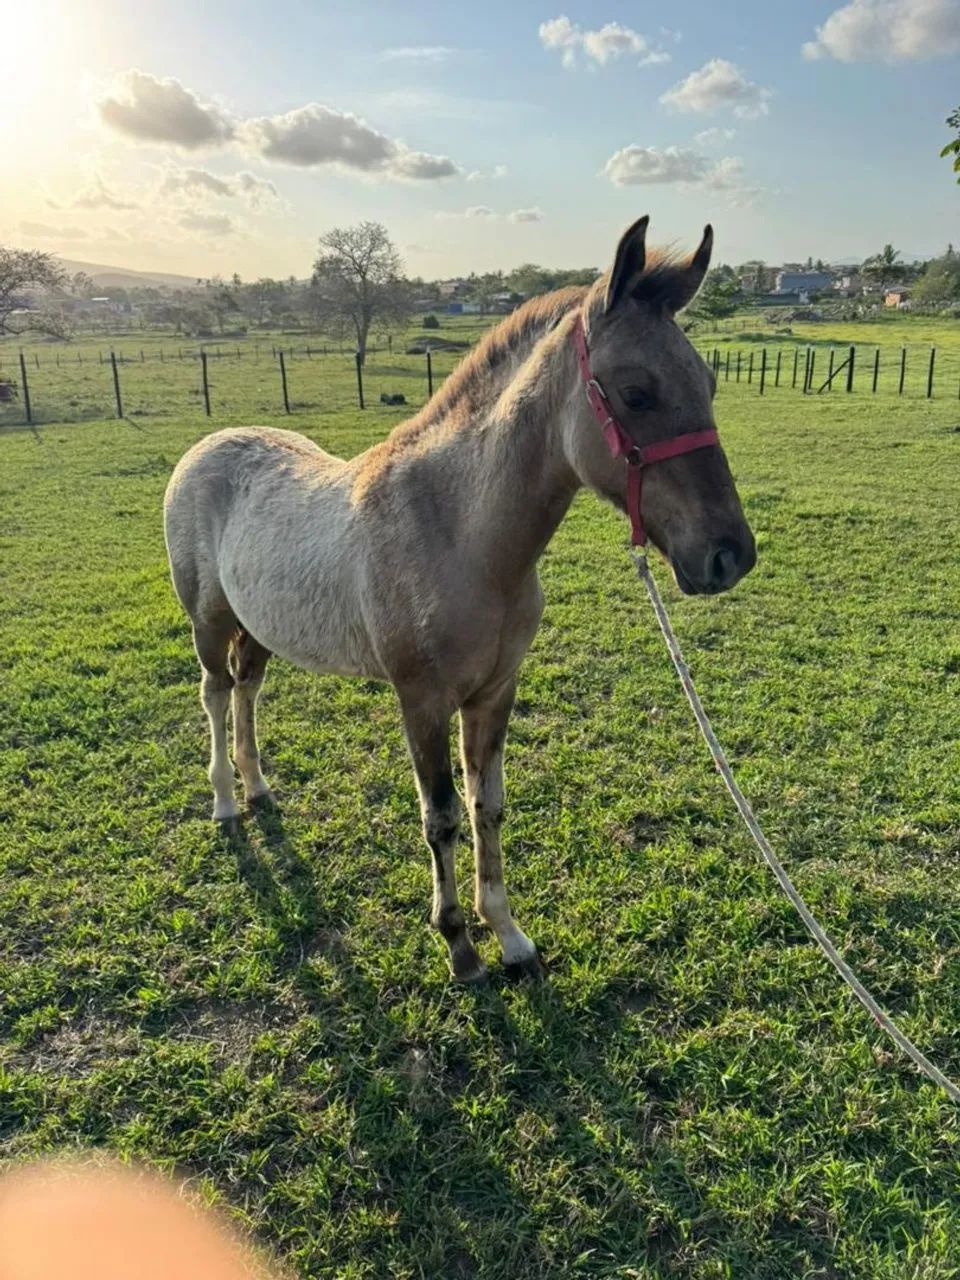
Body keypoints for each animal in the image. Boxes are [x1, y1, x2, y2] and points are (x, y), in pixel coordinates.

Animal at [163, 216, 756, 983]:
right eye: (636, 392)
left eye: (708, 381)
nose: (729, 555)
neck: (458, 534)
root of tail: (207, 445)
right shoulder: (421, 701)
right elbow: (441, 815)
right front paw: (458, 945)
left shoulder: (494, 693)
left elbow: (487, 807)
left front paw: (507, 935)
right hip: (208, 621)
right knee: (213, 692)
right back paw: (225, 801)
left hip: (258, 628)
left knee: (247, 689)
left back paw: (257, 786)